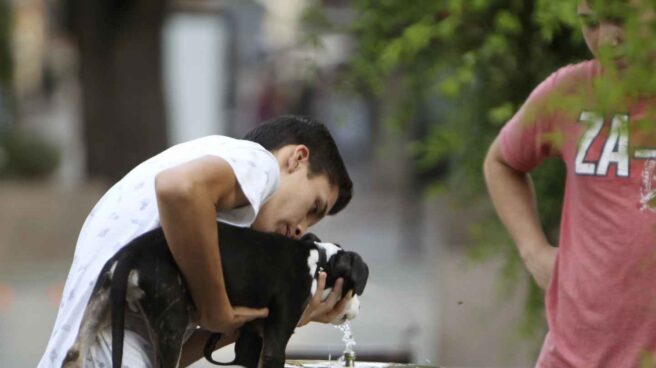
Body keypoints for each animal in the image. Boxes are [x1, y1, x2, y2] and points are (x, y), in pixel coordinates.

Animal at [61, 221, 368, 368]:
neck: (318, 261)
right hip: (172, 320)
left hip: (100, 300)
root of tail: (132, 255)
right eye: (354, 288)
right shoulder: (277, 336)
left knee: (74, 354)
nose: (358, 309)